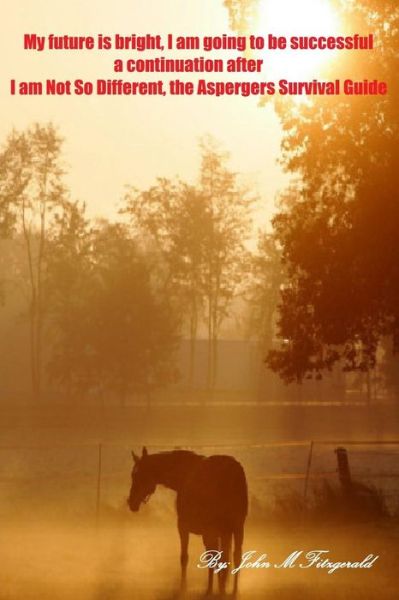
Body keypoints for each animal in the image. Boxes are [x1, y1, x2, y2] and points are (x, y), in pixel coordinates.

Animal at [128, 446, 247, 596]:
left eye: (139, 475)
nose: (131, 502)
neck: (183, 475)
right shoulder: (219, 533)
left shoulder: (185, 528)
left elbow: (185, 558)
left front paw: (184, 588)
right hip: (236, 528)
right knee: (234, 557)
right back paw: (232, 591)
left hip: (219, 531)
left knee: (221, 558)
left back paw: (216, 590)